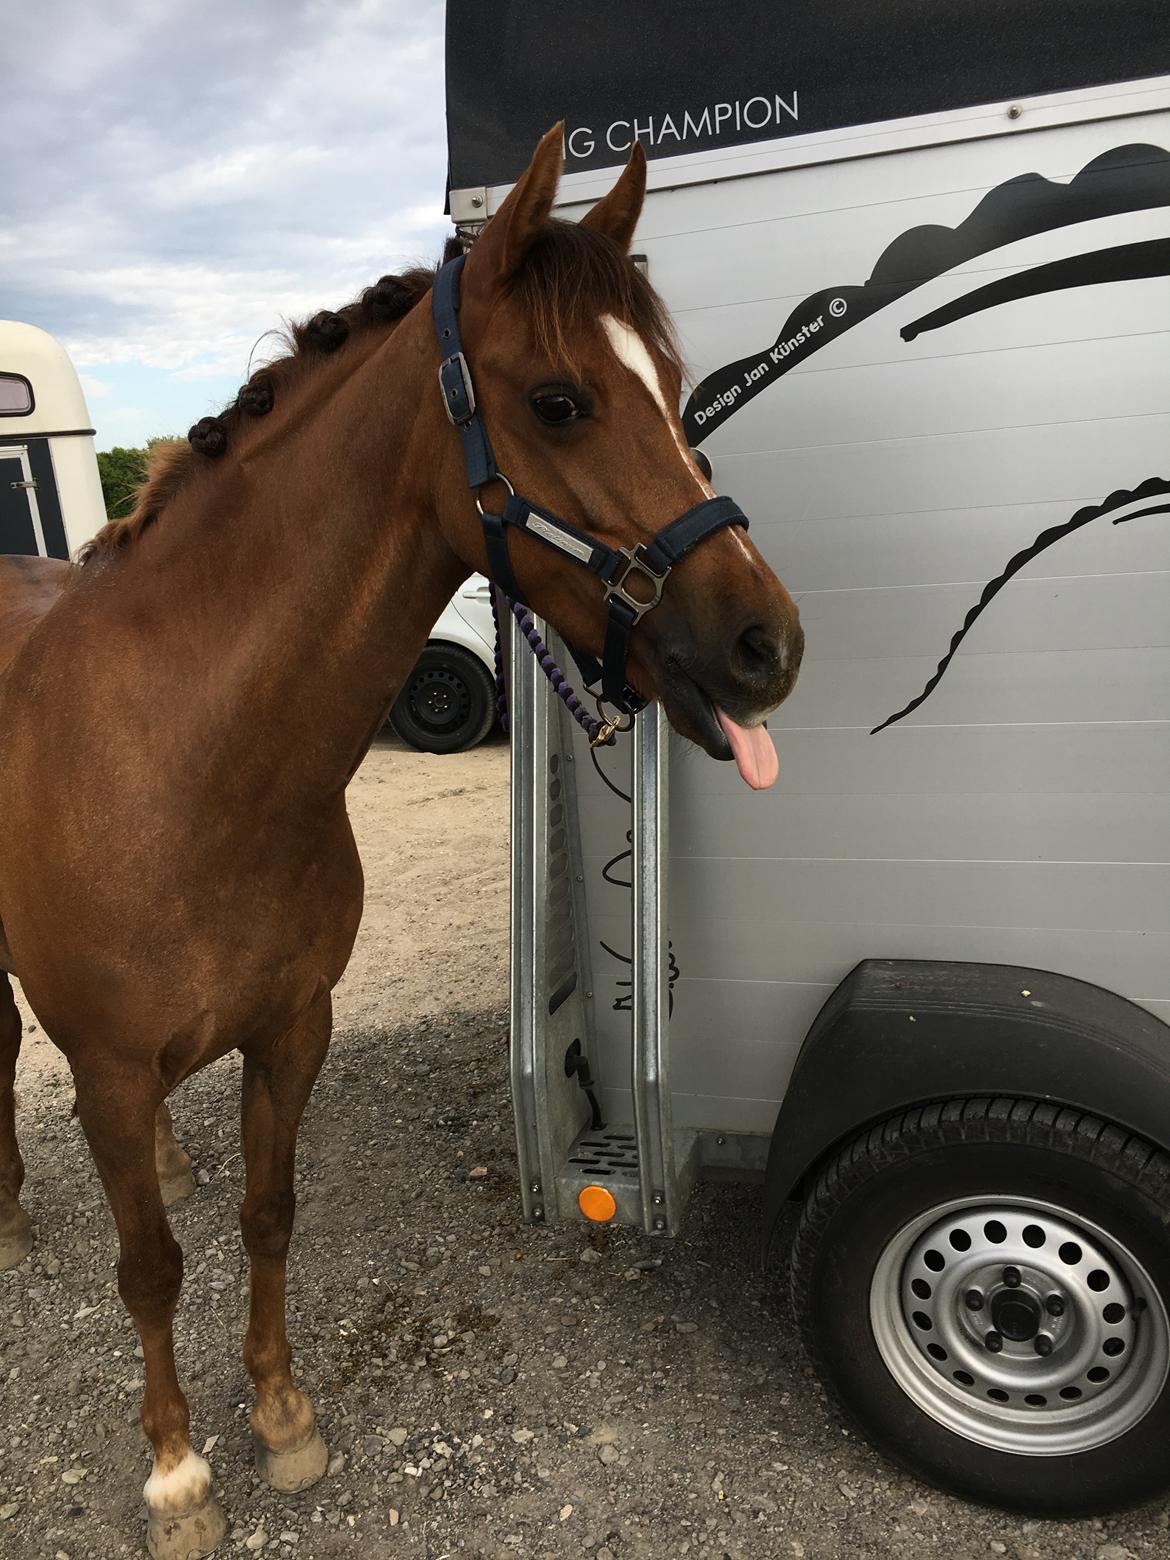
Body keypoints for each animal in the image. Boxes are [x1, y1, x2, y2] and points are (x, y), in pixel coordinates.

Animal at [0, 126, 802, 1557]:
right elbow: (147, 1271)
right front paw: (178, 1471)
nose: (769, 645)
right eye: (560, 400)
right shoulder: (105, 1064)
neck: (188, 768)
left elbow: (267, 1219)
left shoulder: (291, 1029)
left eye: (673, 386)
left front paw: (281, 1418)